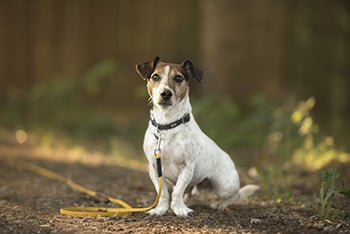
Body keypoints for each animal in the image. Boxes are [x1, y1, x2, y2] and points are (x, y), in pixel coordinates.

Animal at [135, 57, 258, 218]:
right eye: (155, 77)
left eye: (178, 78)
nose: (165, 93)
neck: (168, 124)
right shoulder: (154, 168)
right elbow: (163, 193)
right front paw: (161, 209)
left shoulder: (187, 166)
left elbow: (177, 191)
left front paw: (179, 209)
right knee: (190, 193)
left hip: (224, 185)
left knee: (234, 195)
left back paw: (219, 204)